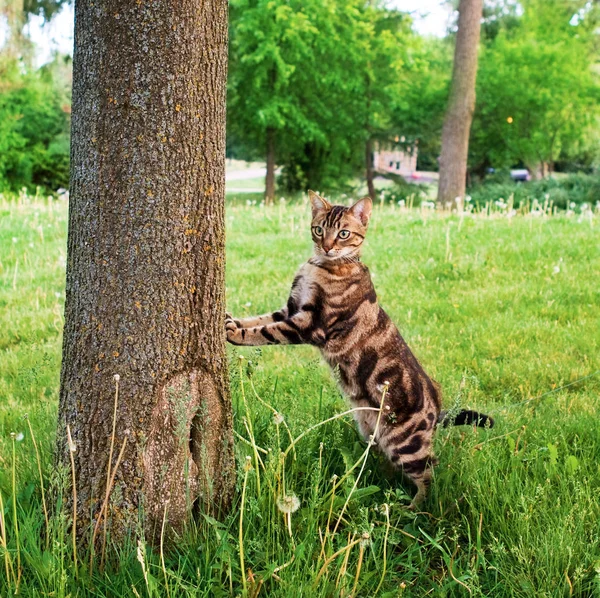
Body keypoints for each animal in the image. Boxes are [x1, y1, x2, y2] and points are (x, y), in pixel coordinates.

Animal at [225, 191, 492, 506]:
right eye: (319, 229)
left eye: (343, 233)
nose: (327, 247)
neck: (321, 265)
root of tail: (437, 410)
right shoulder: (290, 309)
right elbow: (258, 319)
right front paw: (230, 320)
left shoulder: (308, 325)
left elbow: (264, 332)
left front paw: (234, 333)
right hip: (373, 435)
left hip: (406, 445)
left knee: (429, 473)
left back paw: (412, 508)